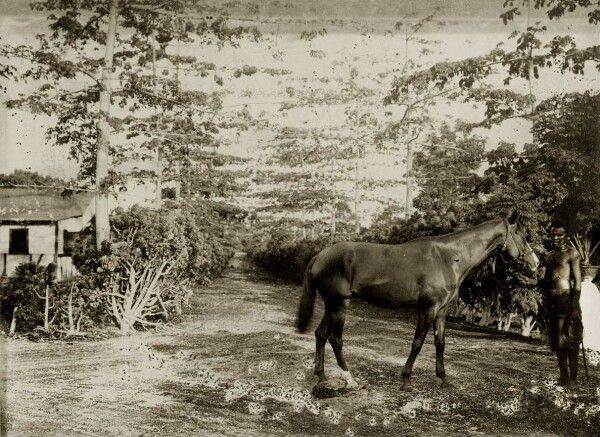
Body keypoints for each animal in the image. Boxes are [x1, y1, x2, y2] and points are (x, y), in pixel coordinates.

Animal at [296, 213, 540, 386]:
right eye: (522, 235)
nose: (536, 262)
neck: (448, 258)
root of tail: (321, 255)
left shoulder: (441, 311)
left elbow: (440, 344)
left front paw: (443, 378)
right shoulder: (427, 309)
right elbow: (418, 343)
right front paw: (405, 378)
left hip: (331, 305)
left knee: (321, 334)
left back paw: (321, 376)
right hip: (340, 305)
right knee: (335, 339)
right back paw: (349, 379)